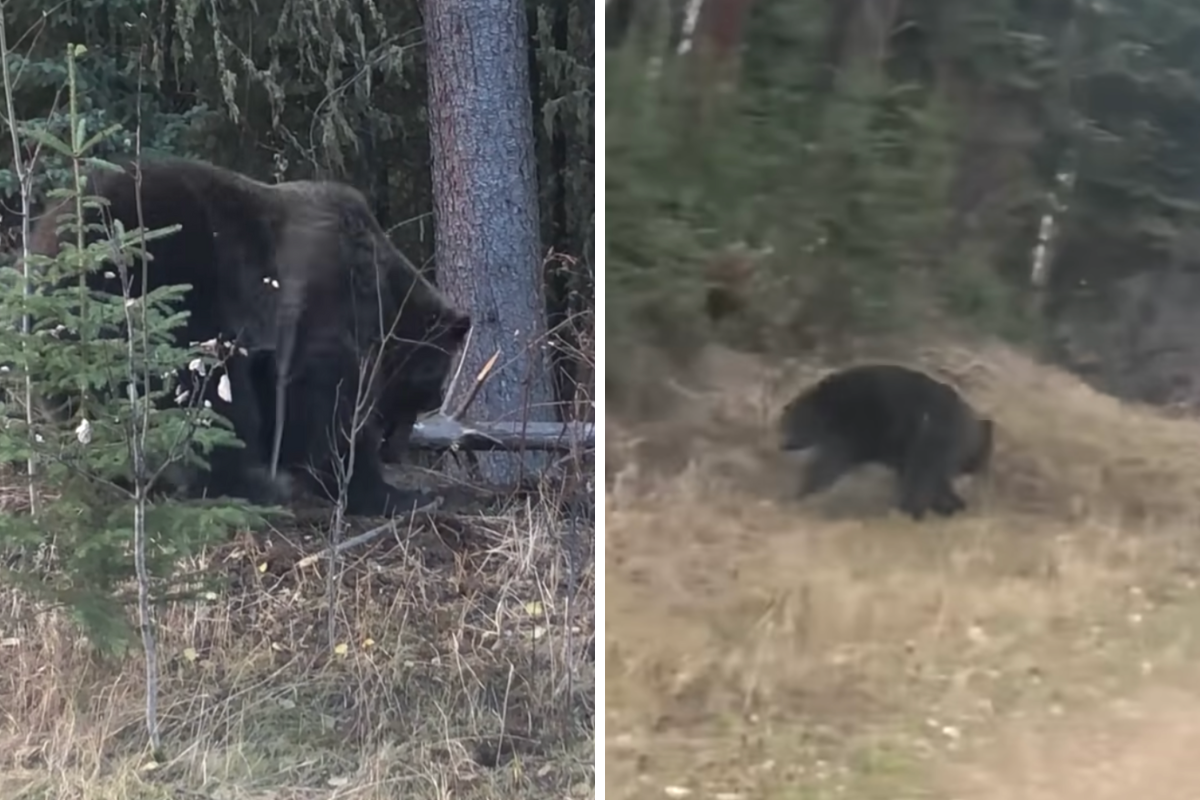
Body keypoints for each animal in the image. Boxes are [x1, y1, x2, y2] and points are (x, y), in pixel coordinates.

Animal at [28, 157, 468, 520]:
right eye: (428, 389)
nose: (398, 450)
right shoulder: (323, 307)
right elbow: (326, 405)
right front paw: (389, 493)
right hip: (162, 294)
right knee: (206, 394)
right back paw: (250, 486)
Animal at [777, 362, 993, 520]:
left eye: (788, 425)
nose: (783, 445)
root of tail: (974, 423)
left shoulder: (853, 427)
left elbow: (831, 461)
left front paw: (803, 492)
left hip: (931, 436)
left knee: (922, 476)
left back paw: (909, 511)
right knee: (933, 479)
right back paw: (949, 507)